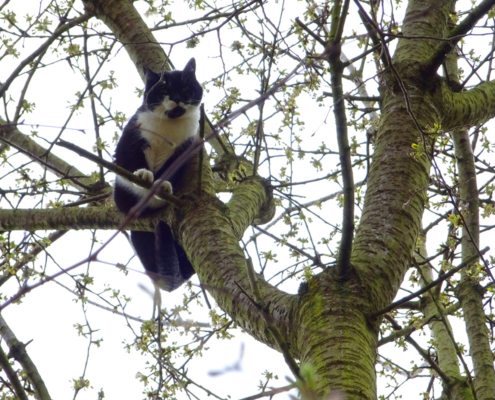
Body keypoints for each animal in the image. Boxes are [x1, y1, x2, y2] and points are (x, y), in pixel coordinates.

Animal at [114, 58, 203, 304]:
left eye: (185, 88)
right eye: (164, 90)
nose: (177, 98)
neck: (170, 127)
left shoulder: (186, 147)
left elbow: (169, 170)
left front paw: (161, 184)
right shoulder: (132, 134)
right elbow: (128, 160)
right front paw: (143, 176)